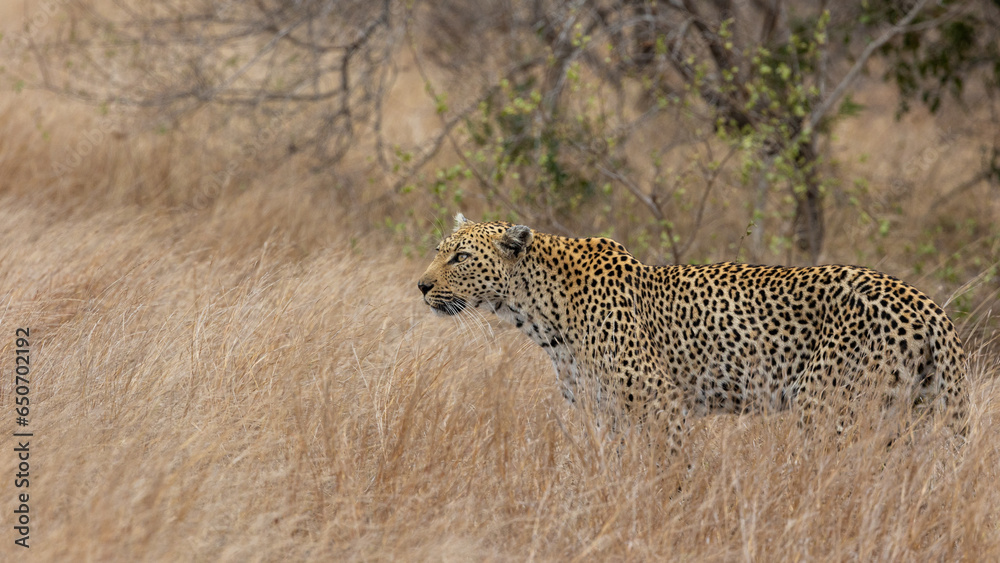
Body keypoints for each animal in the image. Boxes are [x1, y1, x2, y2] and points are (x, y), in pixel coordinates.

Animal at [418, 213, 969, 453]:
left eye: (459, 256)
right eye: (439, 249)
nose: (421, 286)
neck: (536, 312)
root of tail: (929, 305)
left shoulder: (662, 406)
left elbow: (670, 472)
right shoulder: (608, 414)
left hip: (830, 409)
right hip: (911, 412)